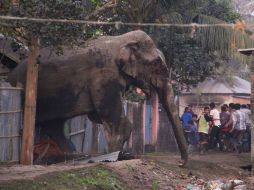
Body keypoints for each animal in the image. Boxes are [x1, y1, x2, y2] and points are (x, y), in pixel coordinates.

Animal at [6, 30, 188, 165]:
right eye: (156, 64)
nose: (180, 163)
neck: (121, 40)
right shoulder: (103, 75)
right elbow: (114, 117)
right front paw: (116, 155)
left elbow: (99, 116)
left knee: (55, 125)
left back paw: (74, 155)